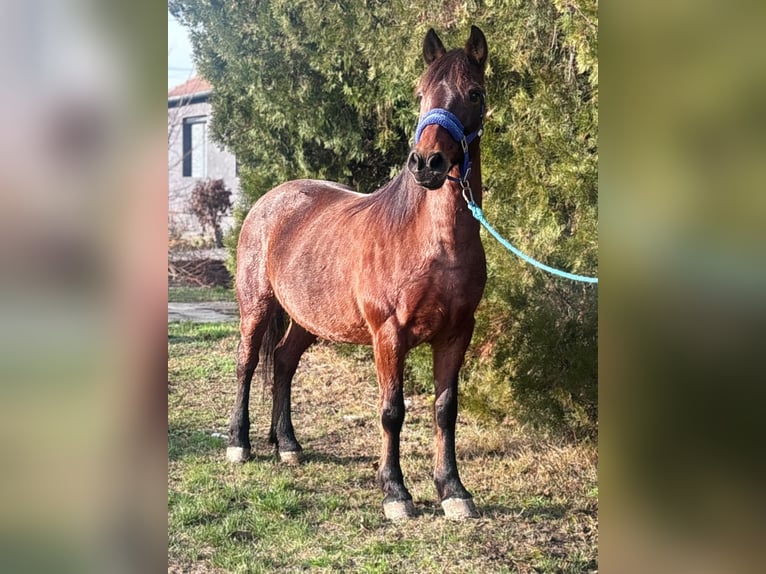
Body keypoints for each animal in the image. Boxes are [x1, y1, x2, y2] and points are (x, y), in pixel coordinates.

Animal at [228, 26, 489, 520]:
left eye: (474, 93)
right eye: (420, 93)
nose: (427, 163)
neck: (433, 245)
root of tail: (270, 200)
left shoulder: (456, 333)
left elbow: (445, 409)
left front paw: (453, 491)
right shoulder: (389, 334)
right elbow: (392, 411)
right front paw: (396, 493)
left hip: (308, 319)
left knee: (285, 362)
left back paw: (288, 445)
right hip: (255, 307)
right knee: (247, 365)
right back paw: (239, 443)